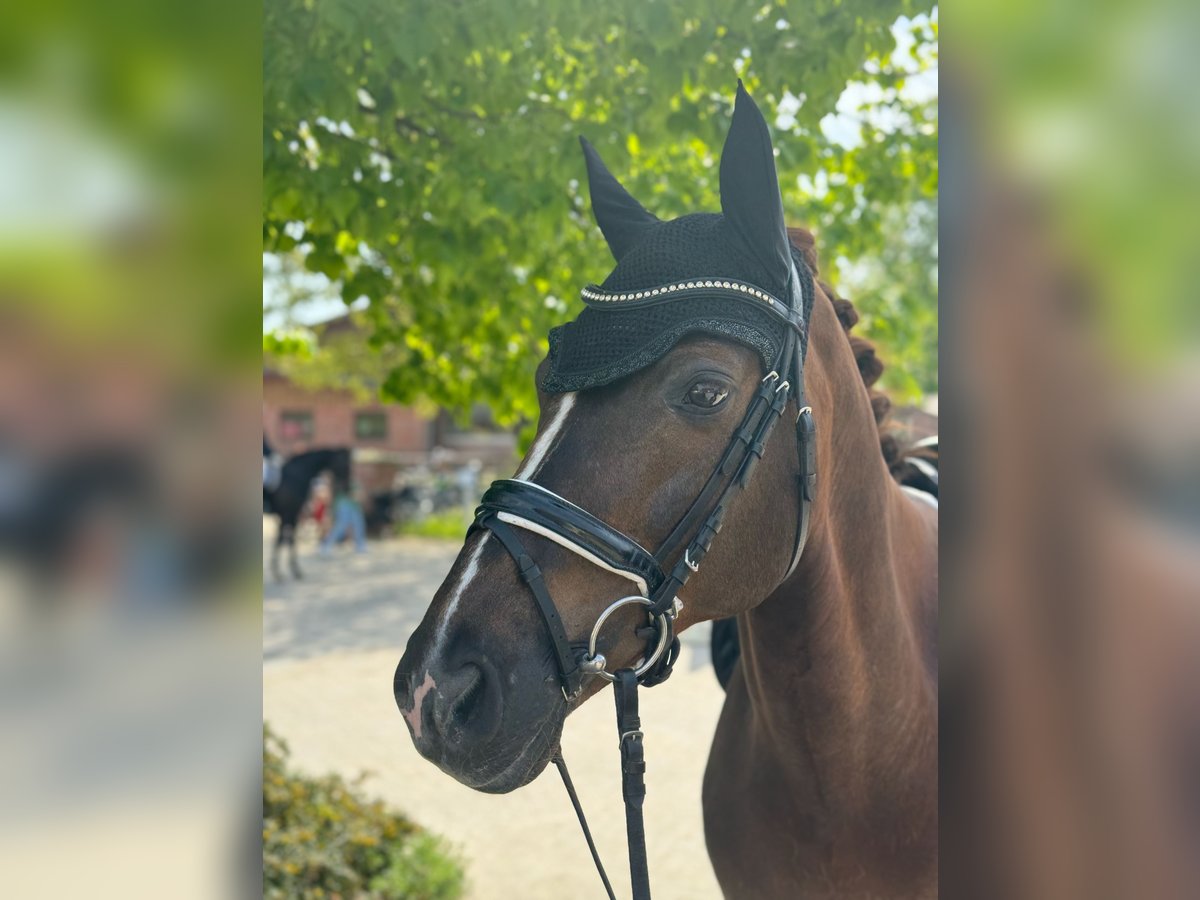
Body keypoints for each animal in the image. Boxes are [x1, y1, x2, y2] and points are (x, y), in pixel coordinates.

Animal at [265, 448, 350, 580]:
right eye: (345, 464)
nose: (347, 488)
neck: (296, 476)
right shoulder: (289, 514)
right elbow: (285, 539)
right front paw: (288, 572)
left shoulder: (290, 516)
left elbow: (285, 539)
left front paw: (284, 571)